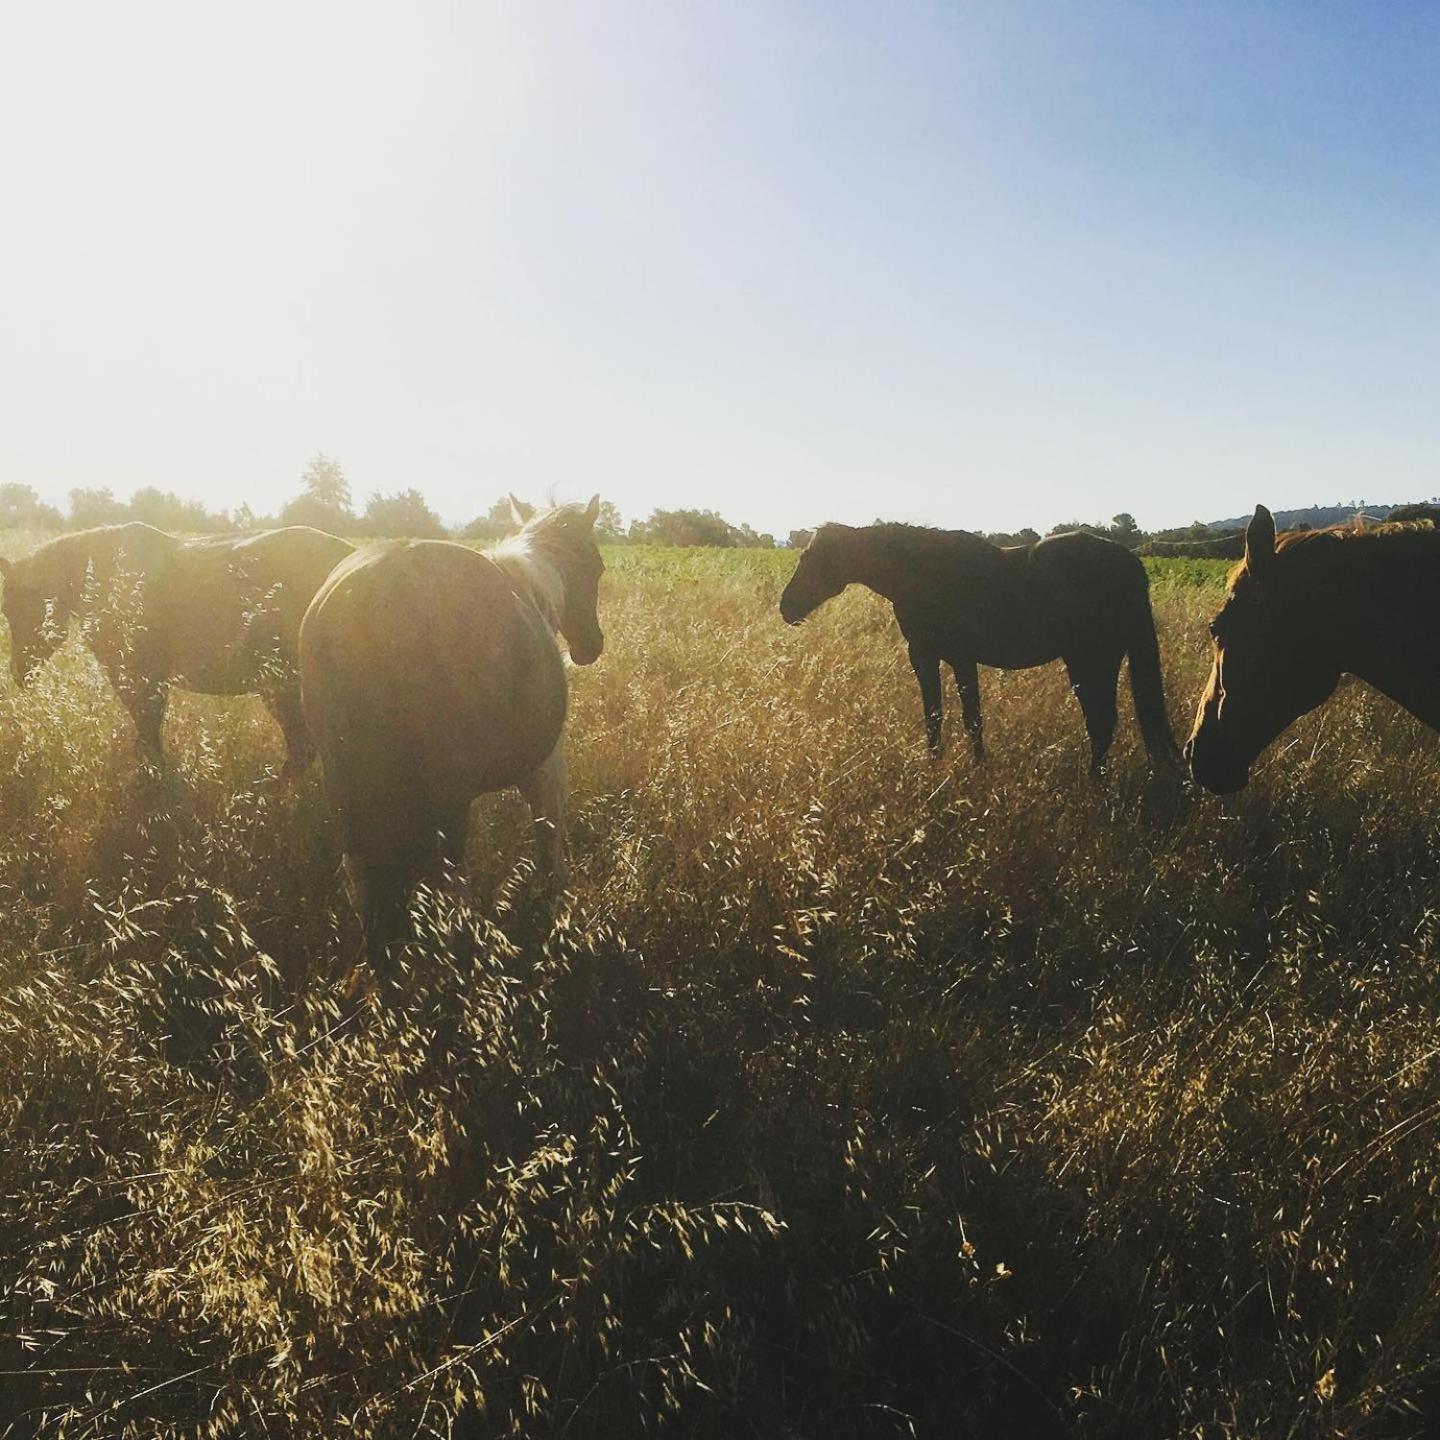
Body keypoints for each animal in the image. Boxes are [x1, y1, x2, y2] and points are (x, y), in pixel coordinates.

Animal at [298, 489, 601, 973]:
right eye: (597, 568)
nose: (592, 646)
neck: (534, 588)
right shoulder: (546, 767)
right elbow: (549, 836)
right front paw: (555, 905)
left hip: (346, 792)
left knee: (365, 884)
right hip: (448, 799)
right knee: (449, 886)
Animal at [777, 524, 1180, 777]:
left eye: (811, 559)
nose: (786, 607)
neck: (921, 571)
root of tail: (1128, 562)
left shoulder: (943, 657)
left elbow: (960, 717)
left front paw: (962, 766)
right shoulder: (939, 659)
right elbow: (945, 715)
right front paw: (947, 763)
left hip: (1091, 661)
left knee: (1101, 721)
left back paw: (1095, 779)